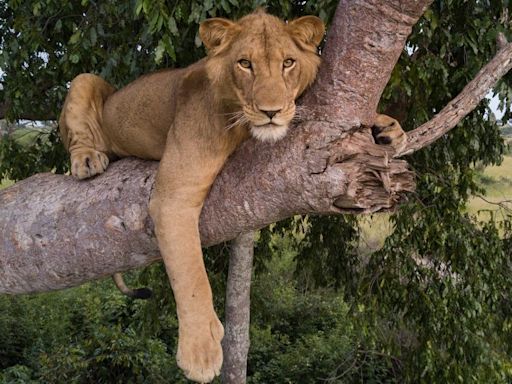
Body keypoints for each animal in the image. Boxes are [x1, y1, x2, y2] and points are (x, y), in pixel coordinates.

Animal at [58, 9, 406, 384]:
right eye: (245, 64)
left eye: (288, 63)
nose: (271, 111)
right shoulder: (174, 196)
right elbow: (191, 274)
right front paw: (200, 351)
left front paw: (387, 127)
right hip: (84, 80)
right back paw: (87, 160)